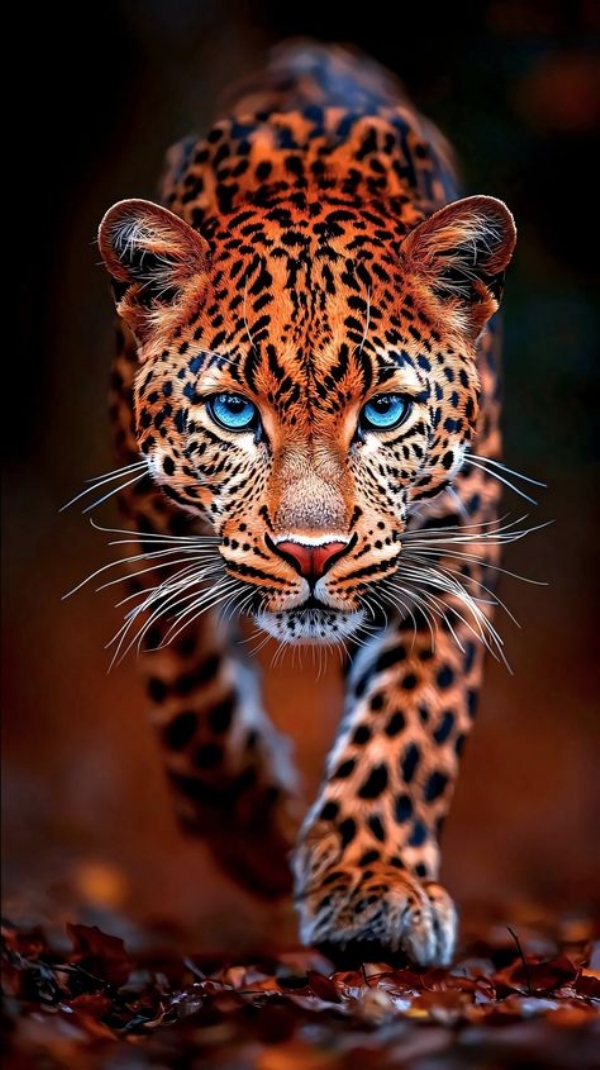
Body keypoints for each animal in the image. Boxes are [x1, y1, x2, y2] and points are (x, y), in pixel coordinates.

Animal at [91, 41, 520, 966]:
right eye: (232, 411)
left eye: (385, 412)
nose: (311, 553)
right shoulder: (152, 520)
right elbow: (190, 689)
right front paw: (250, 833)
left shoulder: (454, 540)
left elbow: (411, 717)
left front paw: (374, 882)